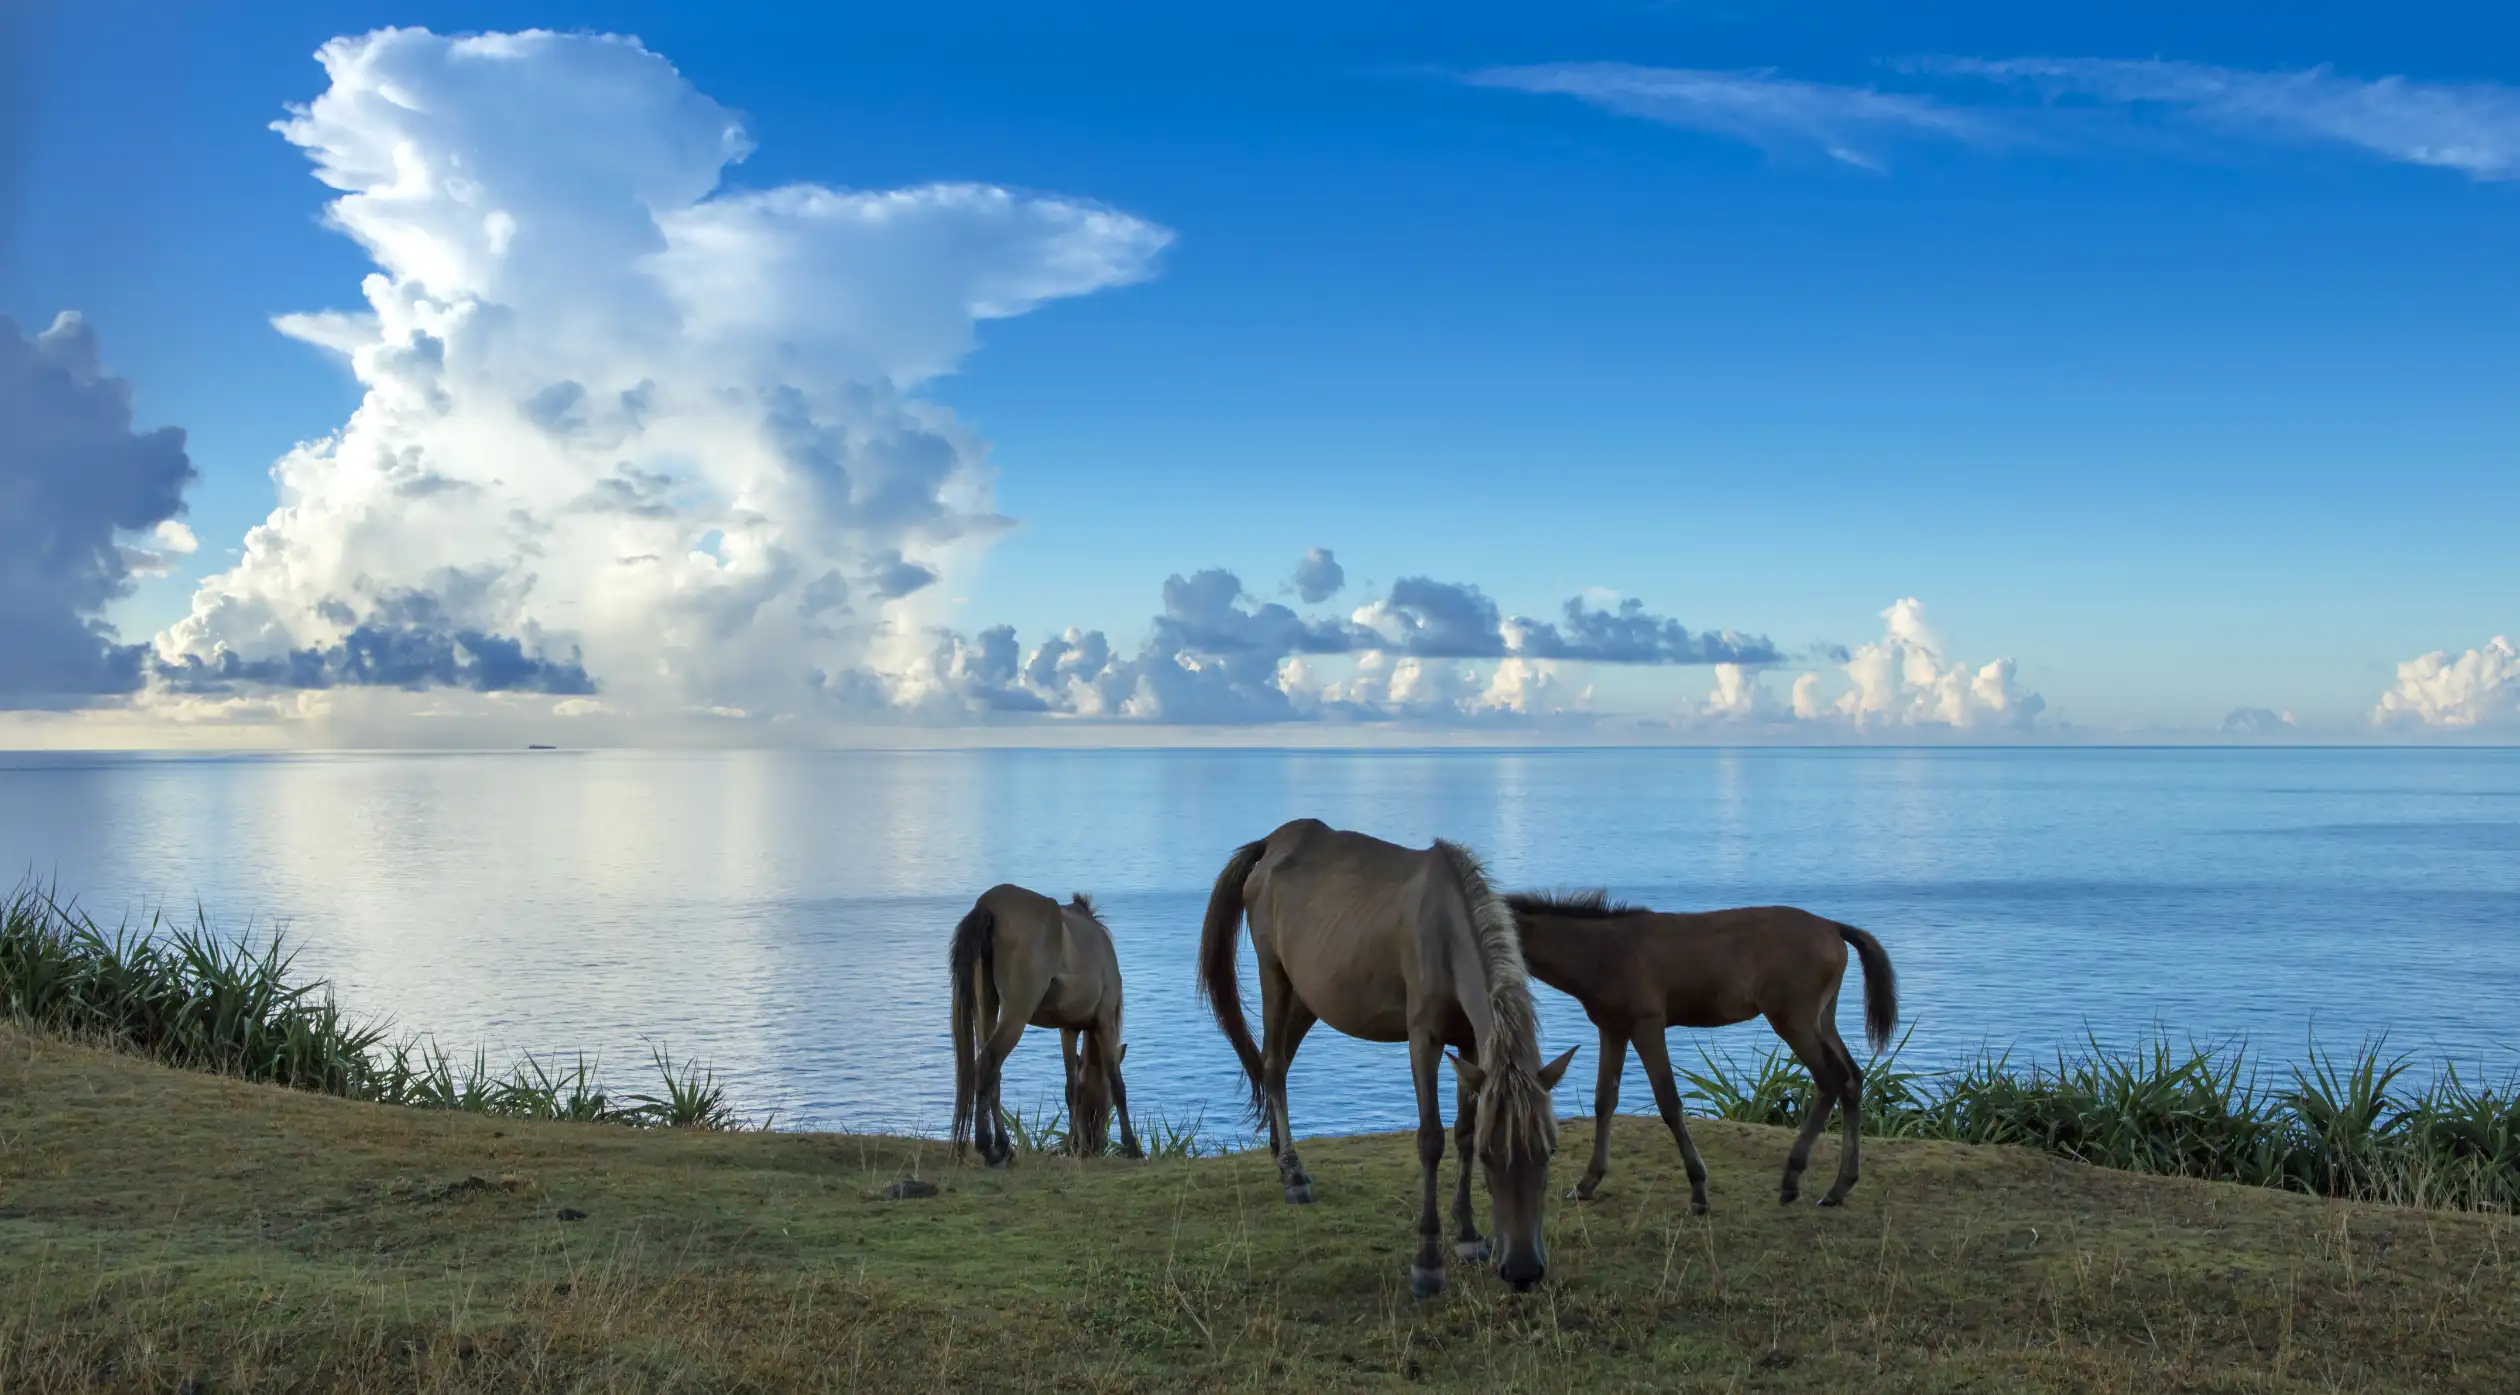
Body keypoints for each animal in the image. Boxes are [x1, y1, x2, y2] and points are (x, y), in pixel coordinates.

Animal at [947, 881, 1144, 1163]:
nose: (1094, 1145)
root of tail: (988, 905)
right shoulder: (1104, 1022)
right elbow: (1117, 1083)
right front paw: (1132, 1147)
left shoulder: (1068, 1029)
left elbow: (1071, 1088)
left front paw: (1073, 1145)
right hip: (1015, 1014)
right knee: (987, 1065)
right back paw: (988, 1149)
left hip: (987, 1006)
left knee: (993, 1073)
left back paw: (1004, 1146)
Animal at [1199, 815, 1572, 1289]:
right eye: (1493, 1157)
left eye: (1549, 1150)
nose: (1523, 1271)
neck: (1447, 932)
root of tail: (1271, 842)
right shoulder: (1424, 1039)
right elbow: (1431, 1139)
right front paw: (1427, 1261)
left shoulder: (1470, 1045)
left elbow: (1463, 1132)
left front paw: (1469, 1234)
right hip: (1276, 977)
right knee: (1274, 1066)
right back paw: (1293, 1174)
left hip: (1309, 995)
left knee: (1273, 1062)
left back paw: (1280, 1158)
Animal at [1501, 891, 1895, 1203]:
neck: (1601, 953)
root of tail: (1833, 927)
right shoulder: (1612, 1029)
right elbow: (1604, 1100)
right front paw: (1586, 1185)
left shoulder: (1647, 1024)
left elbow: (1668, 1102)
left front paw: (1698, 1188)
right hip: (1822, 1019)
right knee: (1852, 1078)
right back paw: (1839, 1188)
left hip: (1792, 1019)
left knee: (1830, 1079)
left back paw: (1792, 1179)